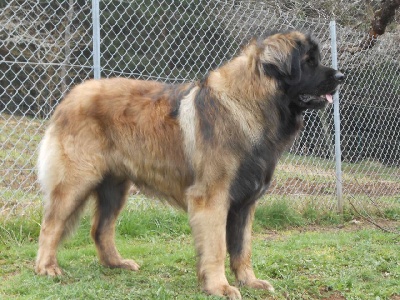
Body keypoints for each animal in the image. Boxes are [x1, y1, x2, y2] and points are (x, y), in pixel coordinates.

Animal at [35, 30, 344, 298]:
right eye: (308, 62)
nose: (341, 76)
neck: (249, 103)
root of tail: (70, 96)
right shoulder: (212, 198)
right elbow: (217, 247)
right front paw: (219, 286)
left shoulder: (245, 202)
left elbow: (242, 248)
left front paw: (249, 281)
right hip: (76, 181)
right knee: (51, 224)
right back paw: (47, 268)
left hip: (115, 187)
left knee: (100, 228)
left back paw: (117, 263)